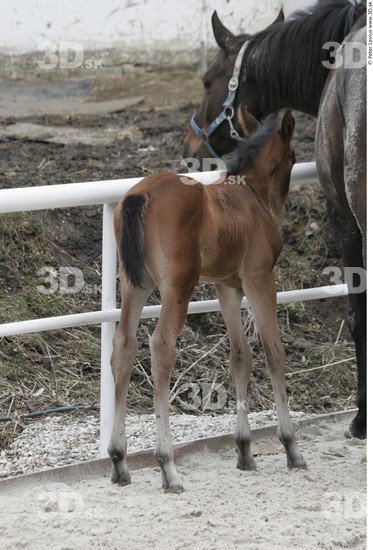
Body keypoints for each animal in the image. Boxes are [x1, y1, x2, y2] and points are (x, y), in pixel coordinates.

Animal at [107, 110, 306, 494]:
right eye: (292, 156)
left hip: (134, 284)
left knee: (123, 346)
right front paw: (291, 448)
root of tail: (140, 195)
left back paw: (120, 461)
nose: (280, 203)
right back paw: (167, 466)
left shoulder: (227, 288)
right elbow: (273, 353)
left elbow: (240, 356)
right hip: (178, 285)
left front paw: (244, 451)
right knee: (161, 346)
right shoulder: (260, 279)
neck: (248, 195)